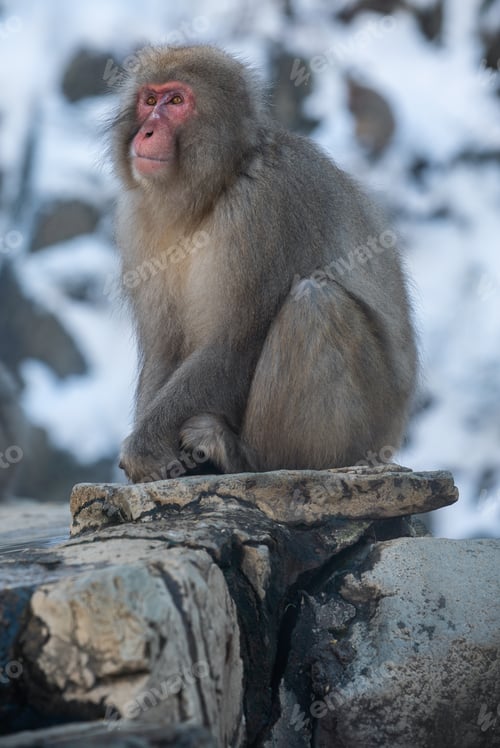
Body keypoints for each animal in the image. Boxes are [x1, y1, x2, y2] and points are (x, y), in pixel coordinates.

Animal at [111, 45, 417, 484]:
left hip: (371, 427)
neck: (211, 193)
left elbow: (235, 342)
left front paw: (144, 446)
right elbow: (164, 347)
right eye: (149, 100)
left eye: (176, 101)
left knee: (315, 303)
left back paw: (246, 457)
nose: (147, 131)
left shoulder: (265, 207)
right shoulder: (138, 222)